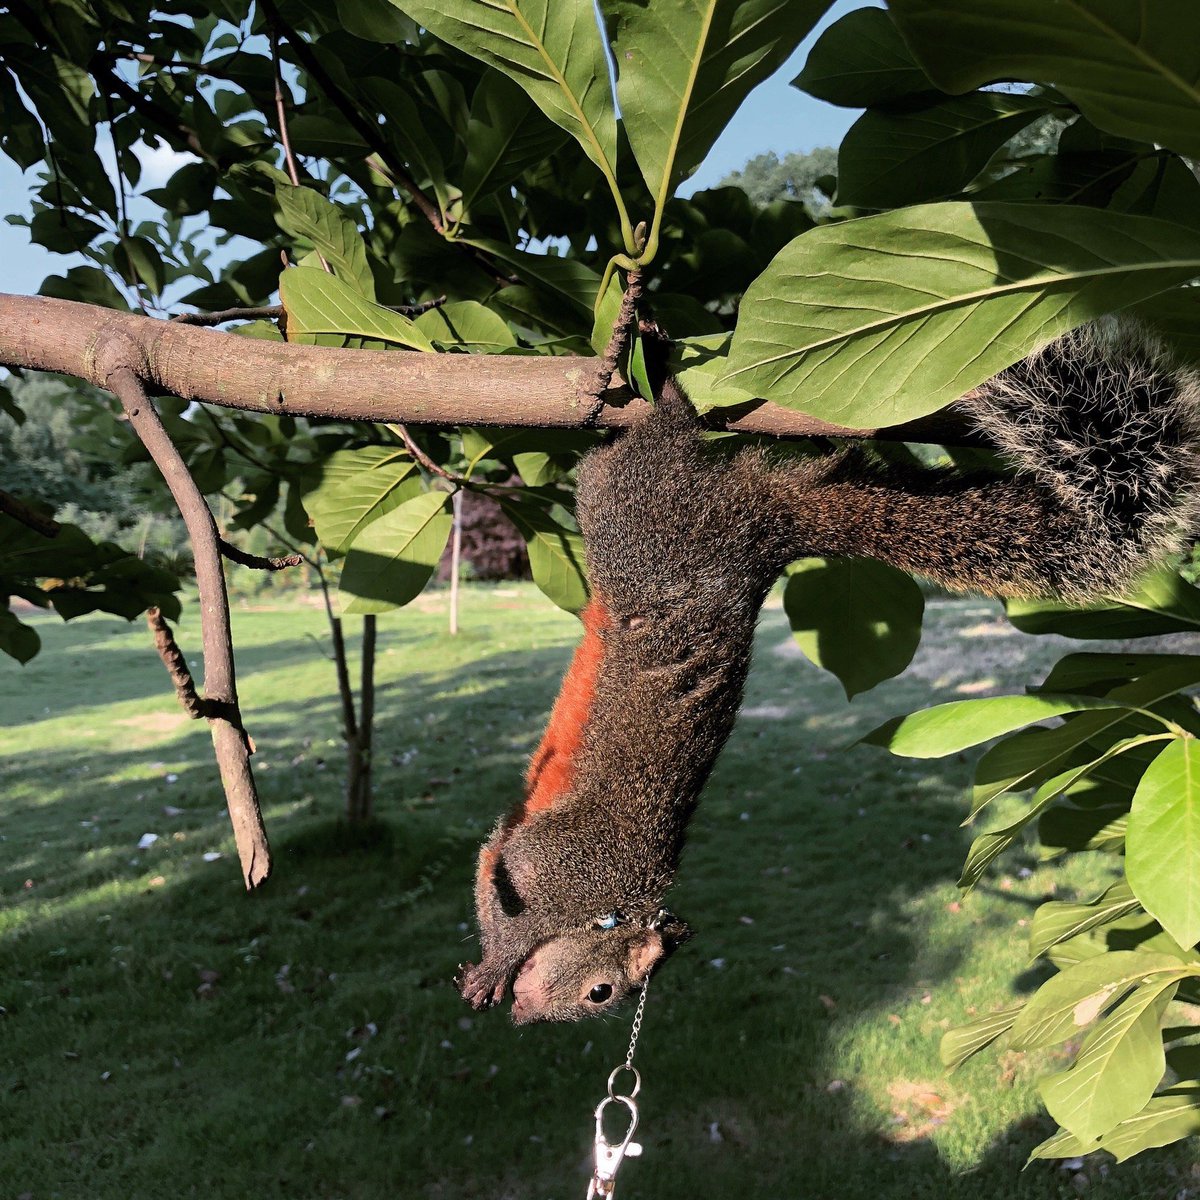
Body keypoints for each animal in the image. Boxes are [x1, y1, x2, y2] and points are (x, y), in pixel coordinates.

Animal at [457, 319, 1200, 1023]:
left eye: (600, 994)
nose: (526, 1015)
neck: (610, 902)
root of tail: (768, 524)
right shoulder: (564, 863)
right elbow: (504, 870)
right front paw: (500, 961)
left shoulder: (551, 862)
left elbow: (495, 861)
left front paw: (497, 964)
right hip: (640, 517)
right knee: (655, 444)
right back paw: (664, 382)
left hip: (636, 512)